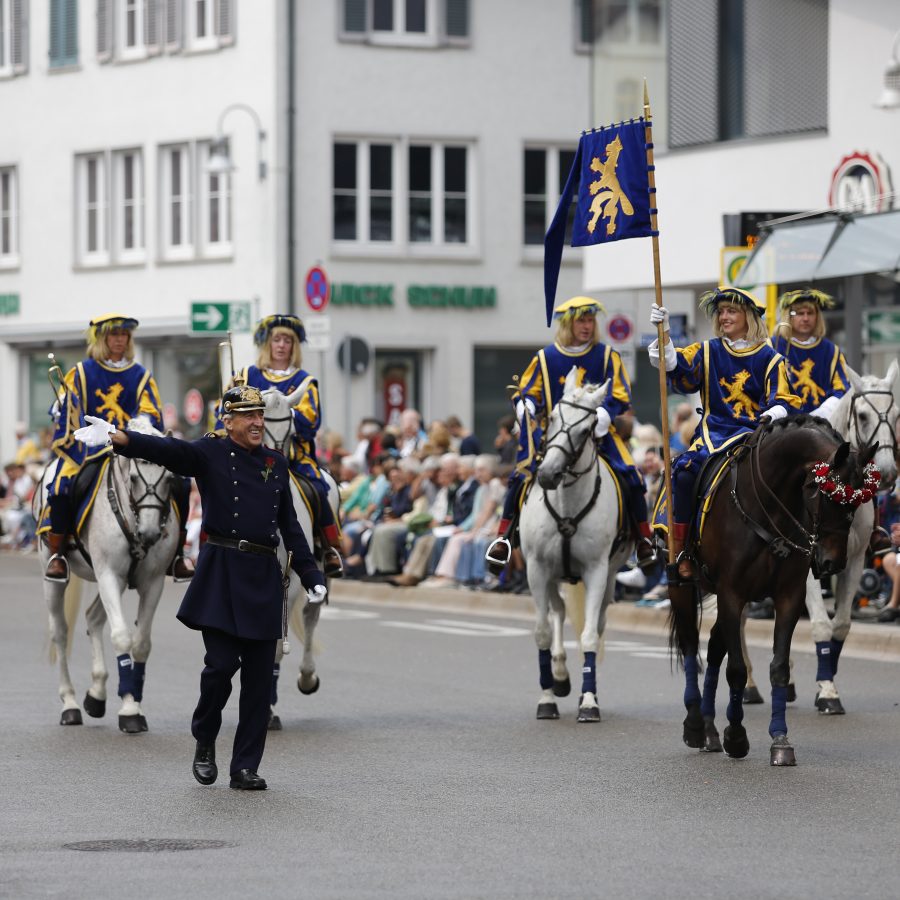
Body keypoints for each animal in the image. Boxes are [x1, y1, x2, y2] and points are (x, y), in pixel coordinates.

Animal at [38, 418, 179, 736]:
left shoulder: (151, 582)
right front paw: (128, 710)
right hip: (57, 578)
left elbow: (141, 643)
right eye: (135, 478)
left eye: (169, 479)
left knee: (93, 618)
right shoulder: (108, 574)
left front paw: (132, 702)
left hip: (118, 582)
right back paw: (70, 704)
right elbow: (122, 637)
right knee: (60, 632)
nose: (150, 534)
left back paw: (97, 694)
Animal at [520, 370, 632, 720]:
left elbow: (590, 637)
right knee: (557, 611)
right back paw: (558, 675)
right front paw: (546, 698)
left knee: (595, 623)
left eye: (586, 429)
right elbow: (542, 631)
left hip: (608, 577)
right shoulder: (536, 570)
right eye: (553, 417)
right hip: (551, 575)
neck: (568, 503)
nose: (547, 474)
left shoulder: (596, 571)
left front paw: (589, 701)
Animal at [672, 416, 876, 768]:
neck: (768, 506)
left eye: (857, 501)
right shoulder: (731, 593)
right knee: (689, 646)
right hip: (684, 586)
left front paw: (779, 739)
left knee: (714, 648)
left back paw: (710, 729)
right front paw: (736, 737)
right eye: (824, 492)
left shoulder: (788, 596)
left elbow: (778, 667)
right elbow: (736, 670)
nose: (832, 562)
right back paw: (696, 725)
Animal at [744, 358, 900, 712]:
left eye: (896, 414)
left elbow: (840, 625)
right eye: (863, 415)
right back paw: (748, 685)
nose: (887, 472)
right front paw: (828, 691)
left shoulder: (852, 561)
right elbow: (819, 624)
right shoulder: (808, 566)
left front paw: (825, 680)